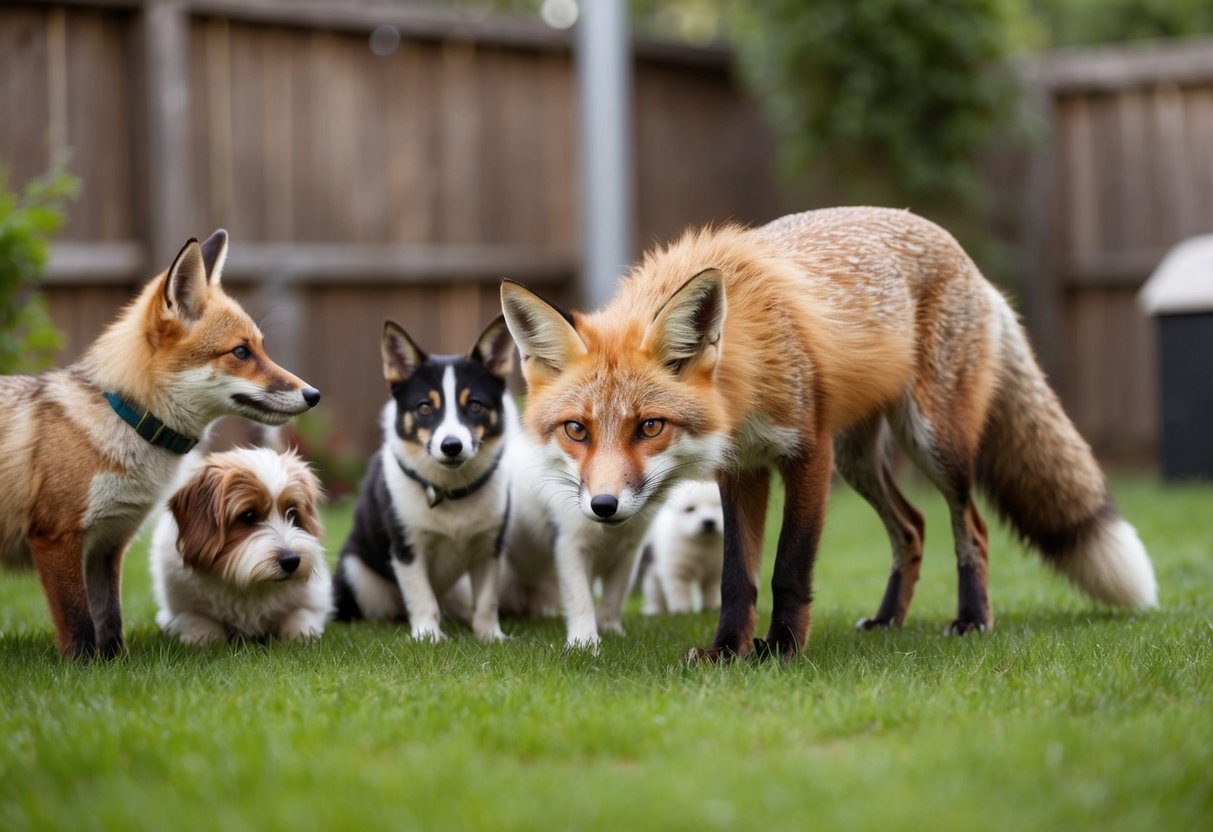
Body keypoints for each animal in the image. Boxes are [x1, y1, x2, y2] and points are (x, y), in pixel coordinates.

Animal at [0, 230, 320, 659]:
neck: (129, 420)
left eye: (261, 349)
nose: (314, 395)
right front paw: (79, 669)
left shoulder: (108, 543)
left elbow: (109, 619)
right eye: (240, 352)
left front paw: (113, 665)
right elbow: (79, 624)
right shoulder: (56, 537)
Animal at [500, 206, 1158, 660]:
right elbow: (738, 577)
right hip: (859, 458)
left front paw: (782, 650)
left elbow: (788, 567)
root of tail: (966, 259)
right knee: (912, 527)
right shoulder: (742, 469)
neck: (744, 379)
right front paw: (726, 651)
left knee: (970, 526)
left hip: (932, 442)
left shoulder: (805, 455)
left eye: (649, 426)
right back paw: (889, 620)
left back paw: (972, 619)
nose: (603, 506)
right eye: (577, 430)